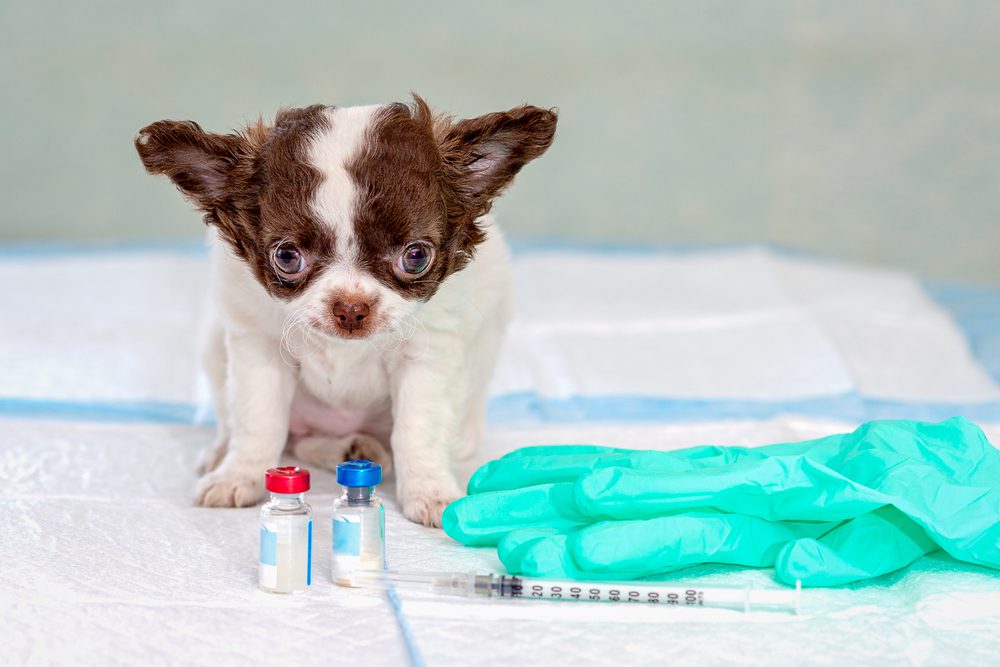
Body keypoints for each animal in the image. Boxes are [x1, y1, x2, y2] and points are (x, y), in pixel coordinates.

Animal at [135, 95, 556, 528]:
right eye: (287, 257)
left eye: (416, 257)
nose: (351, 308)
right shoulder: (258, 348)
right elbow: (258, 421)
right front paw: (240, 475)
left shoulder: (427, 358)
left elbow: (417, 430)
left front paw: (430, 490)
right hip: (214, 348)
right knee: (281, 435)